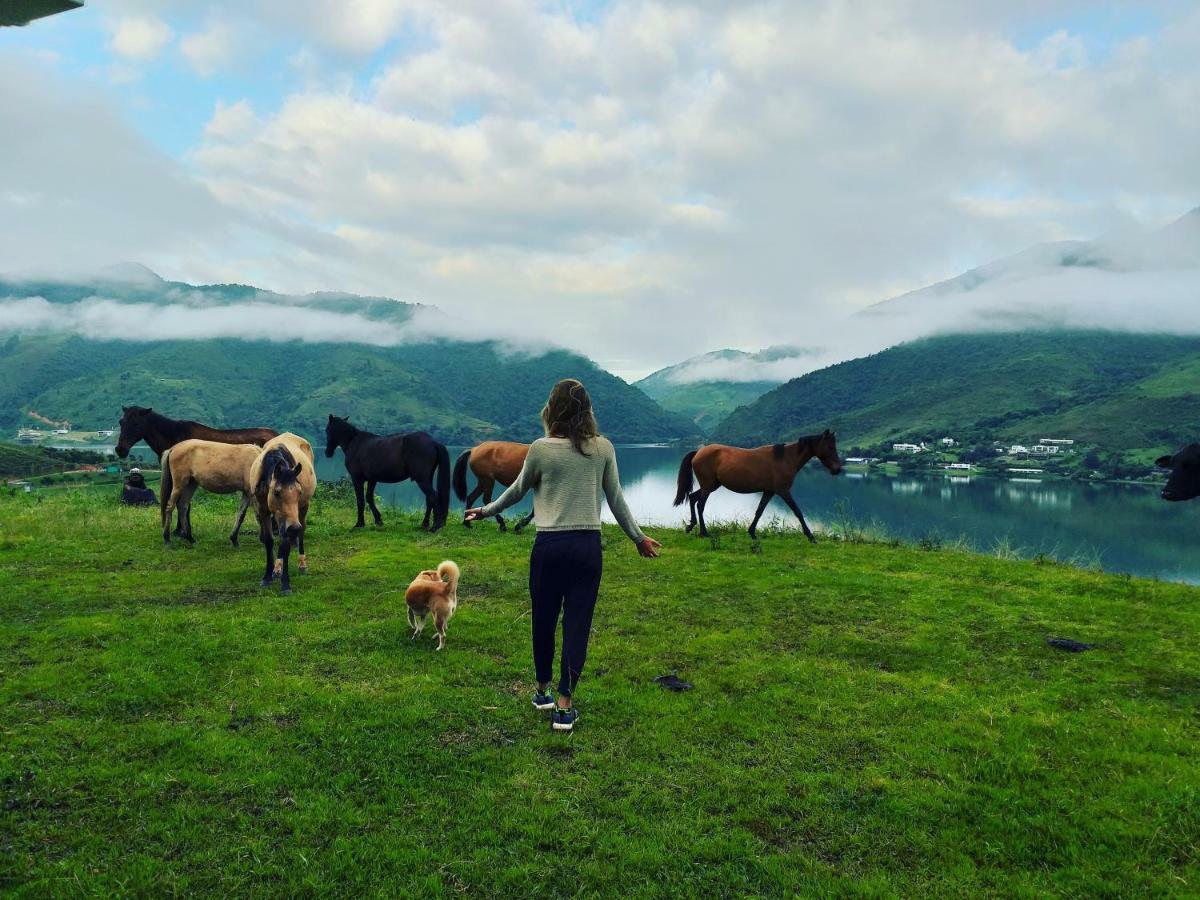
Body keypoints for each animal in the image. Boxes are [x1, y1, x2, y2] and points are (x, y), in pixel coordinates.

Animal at [248, 434, 316, 595]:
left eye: (299, 492)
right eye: (276, 492)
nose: (294, 527)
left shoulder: (289, 518)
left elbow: (285, 545)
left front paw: (285, 584)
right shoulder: (264, 511)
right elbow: (269, 541)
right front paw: (267, 576)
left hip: (303, 508)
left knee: (301, 532)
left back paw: (301, 563)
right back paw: (277, 568)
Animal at [676, 429, 844, 542]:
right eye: (830, 447)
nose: (837, 469)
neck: (785, 459)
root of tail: (699, 452)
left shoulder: (769, 492)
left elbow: (759, 512)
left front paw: (752, 532)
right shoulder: (784, 491)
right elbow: (798, 512)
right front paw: (810, 536)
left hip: (711, 485)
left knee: (692, 498)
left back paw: (691, 526)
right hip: (708, 486)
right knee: (700, 505)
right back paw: (703, 532)